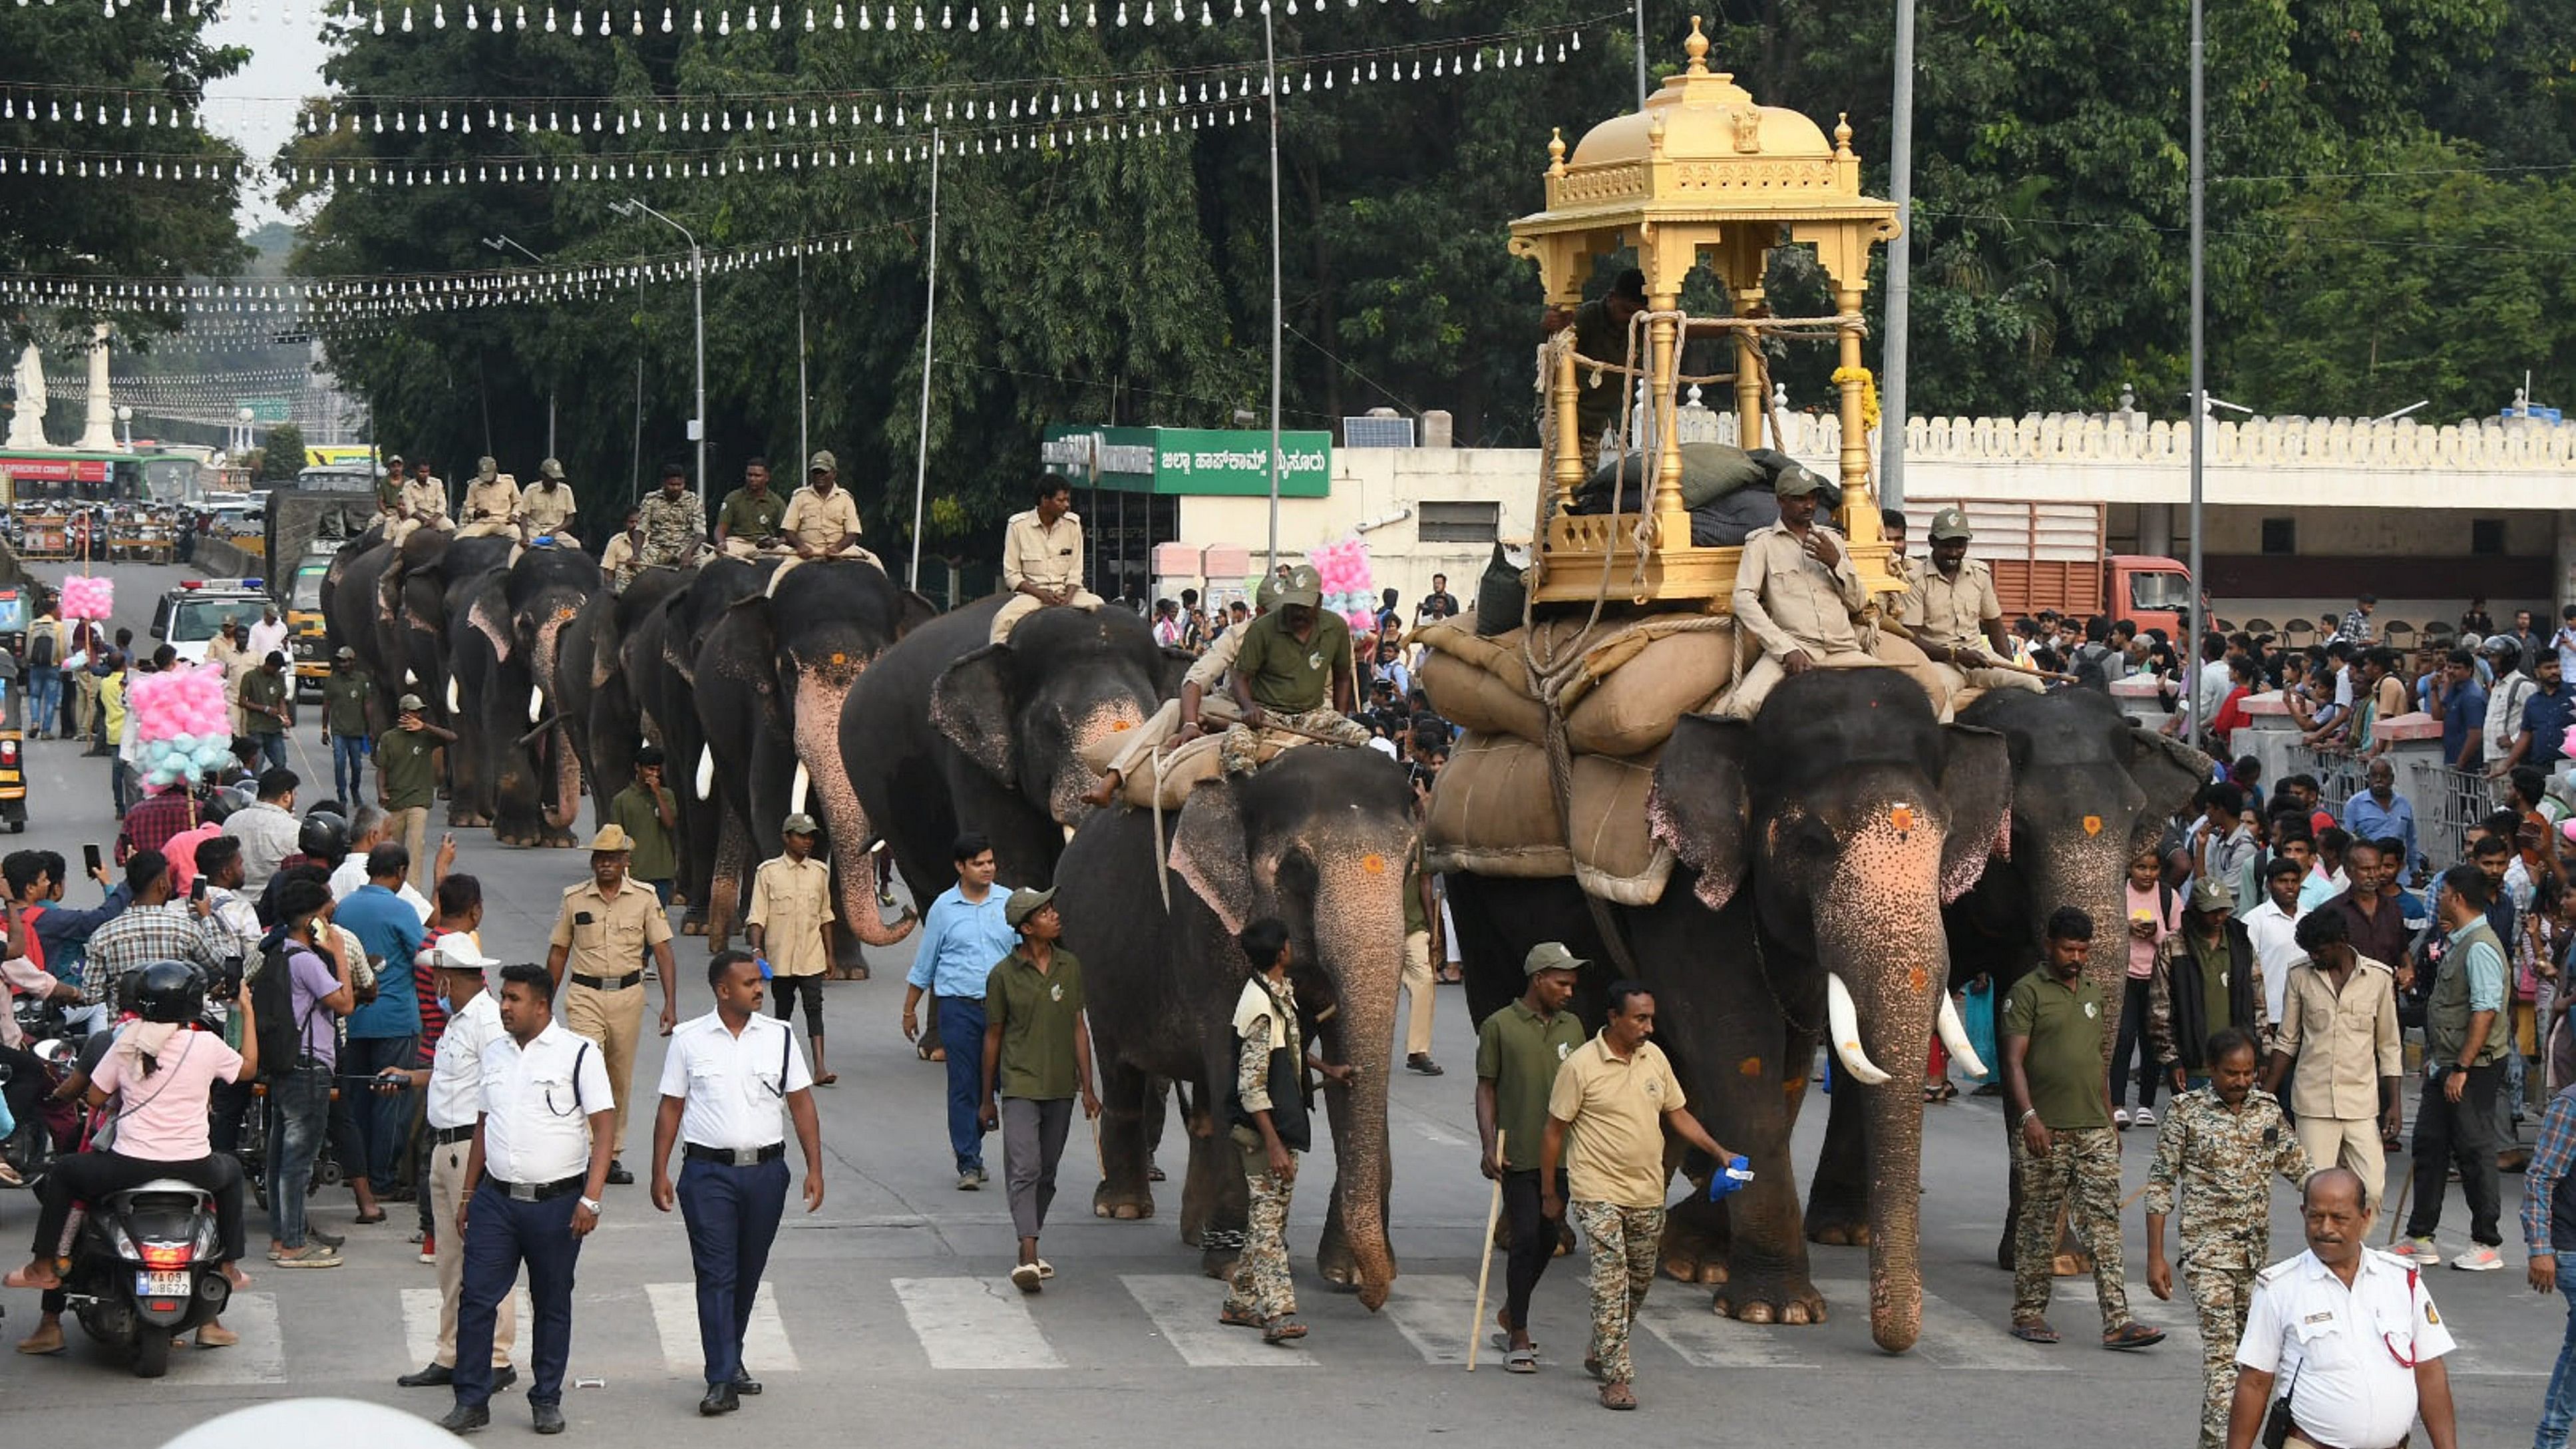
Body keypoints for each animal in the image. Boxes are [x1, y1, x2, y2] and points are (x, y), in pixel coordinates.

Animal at [690, 559, 932, 964]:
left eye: (881, 662)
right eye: (788, 671)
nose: (907, 910)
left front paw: (849, 969)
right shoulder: (770, 720)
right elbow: (772, 809)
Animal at [1045, 737, 1421, 1305]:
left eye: (1411, 866)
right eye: (1297, 867)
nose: (1373, 1295)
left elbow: (1335, 1062)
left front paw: (1346, 1274)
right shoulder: (1206, 923)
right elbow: (1233, 1051)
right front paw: (1229, 1265)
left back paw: (1193, 1230)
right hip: (1096, 969)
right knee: (1121, 1068)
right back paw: (1123, 1206)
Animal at [1442, 665, 1998, 1350]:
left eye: (1945, 839)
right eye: (1812, 840)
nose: (1894, 1344)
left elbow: (1785, 1063)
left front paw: (1698, 1258)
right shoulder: (1689, 892)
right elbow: (1737, 1049)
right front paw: (1775, 1309)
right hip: (1471, 892)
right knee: (1501, 1014)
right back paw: (1542, 1231)